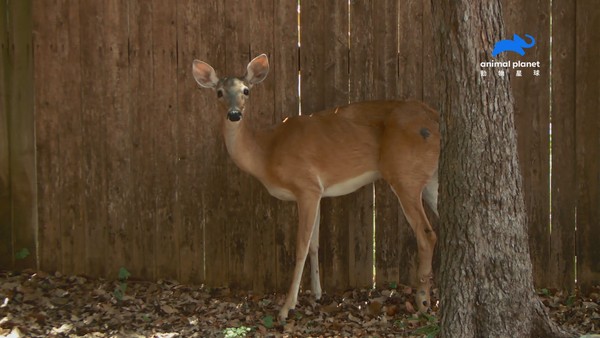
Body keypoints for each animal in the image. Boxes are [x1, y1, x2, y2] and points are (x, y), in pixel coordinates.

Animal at [192, 52, 440, 322]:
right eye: (219, 92)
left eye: (246, 90)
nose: (235, 114)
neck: (266, 153)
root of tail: (435, 119)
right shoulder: (319, 192)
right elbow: (314, 243)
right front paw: (317, 294)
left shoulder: (306, 186)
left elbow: (301, 245)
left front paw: (286, 308)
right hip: (430, 179)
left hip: (404, 173)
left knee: (427, 233)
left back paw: (423, 302)